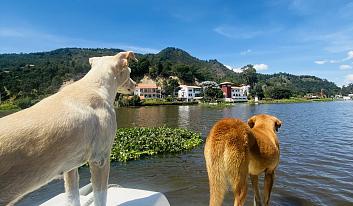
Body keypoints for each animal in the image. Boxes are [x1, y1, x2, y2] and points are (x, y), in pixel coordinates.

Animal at [0, 51, 136, 204]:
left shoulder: (70, 166)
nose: (136, 84)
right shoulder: (100, 159)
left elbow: (72, 196)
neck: (95, 86)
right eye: (130, 71)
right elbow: (100, 198)